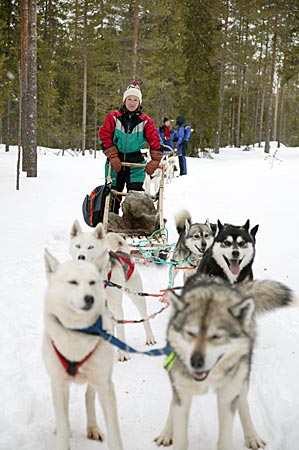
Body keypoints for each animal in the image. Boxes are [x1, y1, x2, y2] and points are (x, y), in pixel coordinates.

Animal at [42, 250, 123, 450]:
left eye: (92, 282)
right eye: (73, 282)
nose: (89, 298)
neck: (78, 332)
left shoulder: (105, 386)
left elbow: (114, 433)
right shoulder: (58, 384)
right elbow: (63, 422)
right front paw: (63, 433)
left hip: (96, 378)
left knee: (89, 397)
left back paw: (92, 428)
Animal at [69, 220, 156, 360]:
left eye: (90, 247)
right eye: (78, 246)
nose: (81, 256)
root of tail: (123, 252)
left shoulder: (117, 307)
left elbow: (120, 331)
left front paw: (123, 354)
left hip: (137, 297)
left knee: (144, 318)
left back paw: (150, 338)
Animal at [156, 274, 298, 450]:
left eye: (216, 336)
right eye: (190, 333)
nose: (195, 362)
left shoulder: (227, 397)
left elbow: (225, 437)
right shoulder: (182, 394)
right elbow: (180, 432)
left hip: (241, 378)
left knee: (243, 403)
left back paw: (252, 436)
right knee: (173, 404)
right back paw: (166, 432)